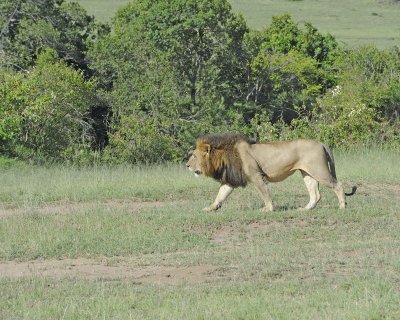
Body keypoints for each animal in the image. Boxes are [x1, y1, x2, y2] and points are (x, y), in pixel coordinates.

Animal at [186, 133, 358, 211]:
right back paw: (305, 209)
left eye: (193, 156)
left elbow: (265, 193)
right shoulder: (230, 180)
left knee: (337, 185)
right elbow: (220, 195)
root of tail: (321, 143)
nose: (186, 165)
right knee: (315, 194)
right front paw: (210, 208)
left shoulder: (256, 176)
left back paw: (342, 206)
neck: (223, 156)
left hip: (319, 170)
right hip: (307, 173)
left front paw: (268, 209)